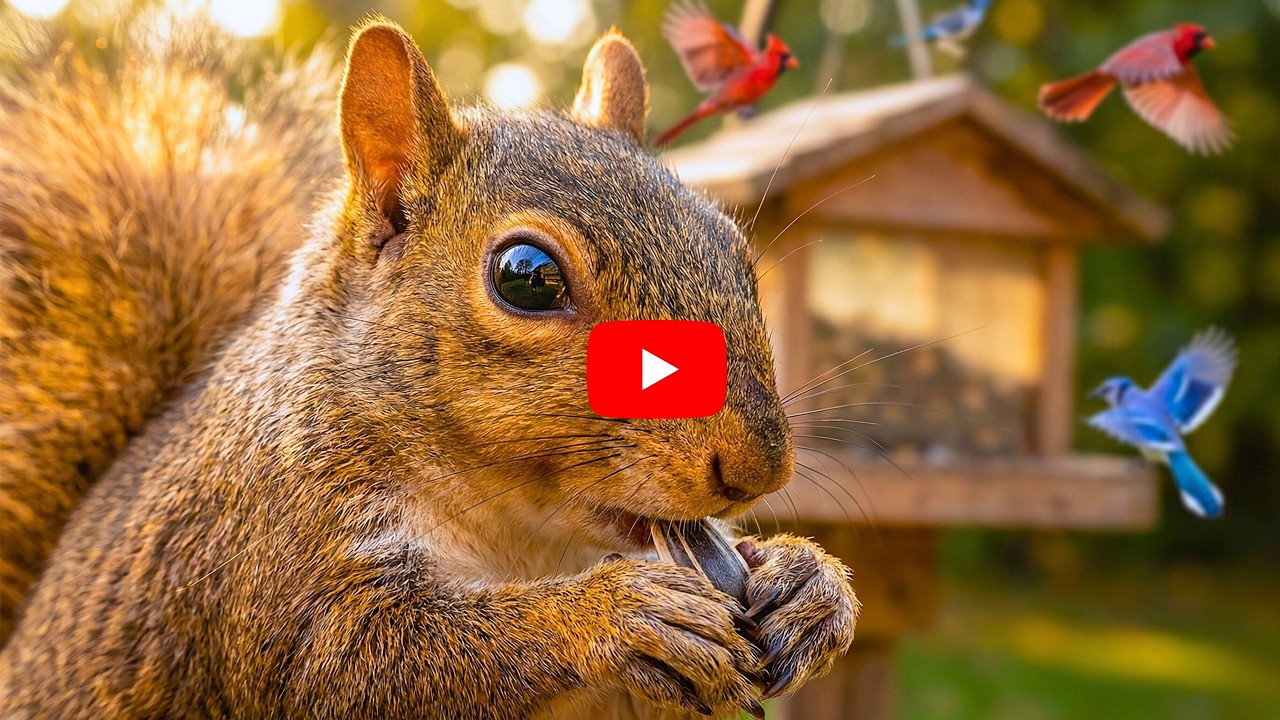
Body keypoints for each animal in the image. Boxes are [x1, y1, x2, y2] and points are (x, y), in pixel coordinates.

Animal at [0, 9, 858, 719]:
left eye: (738, 252)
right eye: (526, 277)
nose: (758, 468)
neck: (524, 536)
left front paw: (806, 585)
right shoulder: (269, 556)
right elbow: (356, 664)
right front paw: (612, 615)